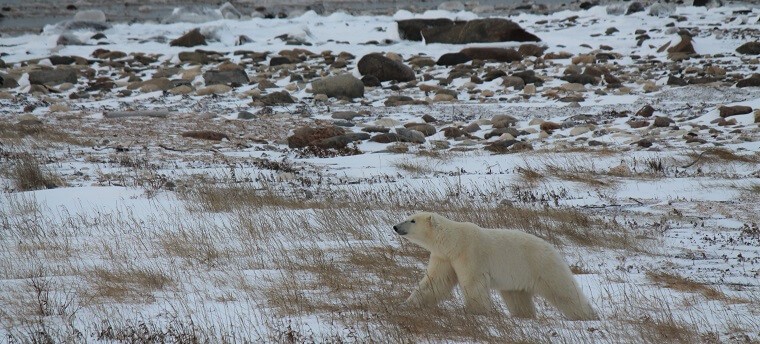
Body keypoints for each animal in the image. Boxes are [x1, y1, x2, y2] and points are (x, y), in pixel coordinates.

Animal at [392, 211, 600, 322]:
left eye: (412, 220)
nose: (395, 226)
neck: (454, 241)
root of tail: (552, 248)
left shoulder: (470, 253)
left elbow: (473, 283)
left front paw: (476, 311)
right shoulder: (444, 257)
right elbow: (435, 282)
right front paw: (407, 303)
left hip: (541, 265)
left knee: (563, 291)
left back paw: (588, 315)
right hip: (517, 276)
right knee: (517, 297)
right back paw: (523, 316)